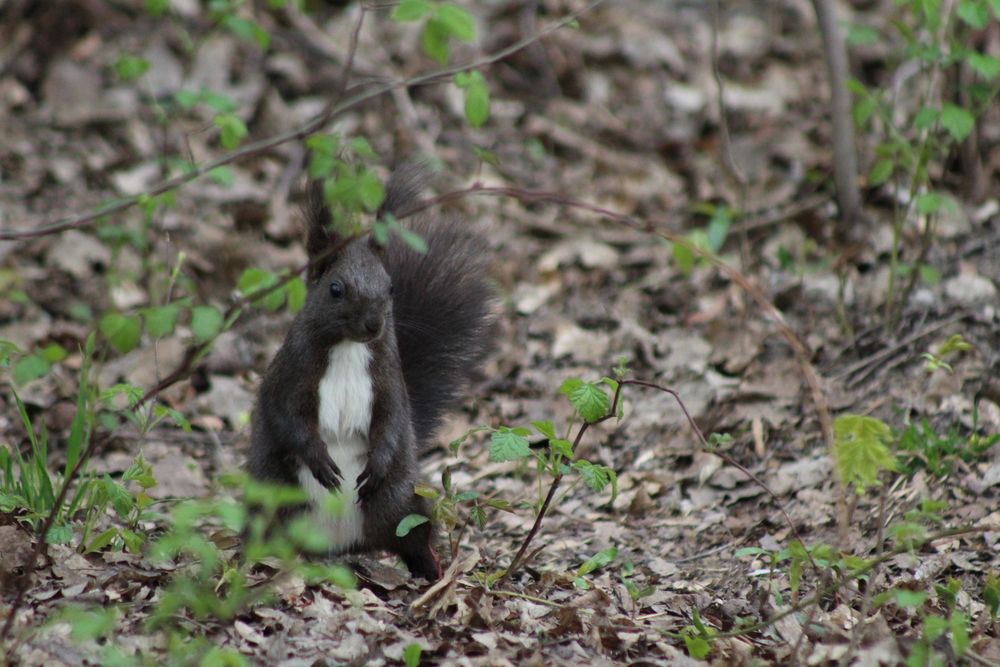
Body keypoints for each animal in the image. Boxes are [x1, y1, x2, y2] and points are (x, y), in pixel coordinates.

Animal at [246, 166, 496, 580]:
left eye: (390, 287)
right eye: (335, 289)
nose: (373, 325)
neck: (348, 348)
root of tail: (339, 544)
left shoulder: (389, 382)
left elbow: (392, 421)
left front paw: (377, 463)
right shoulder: (289, 377)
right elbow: (287, 417)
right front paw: (318, 459)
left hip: (403, 506)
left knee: (415, 539)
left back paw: (433, 573)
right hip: (273, 503)